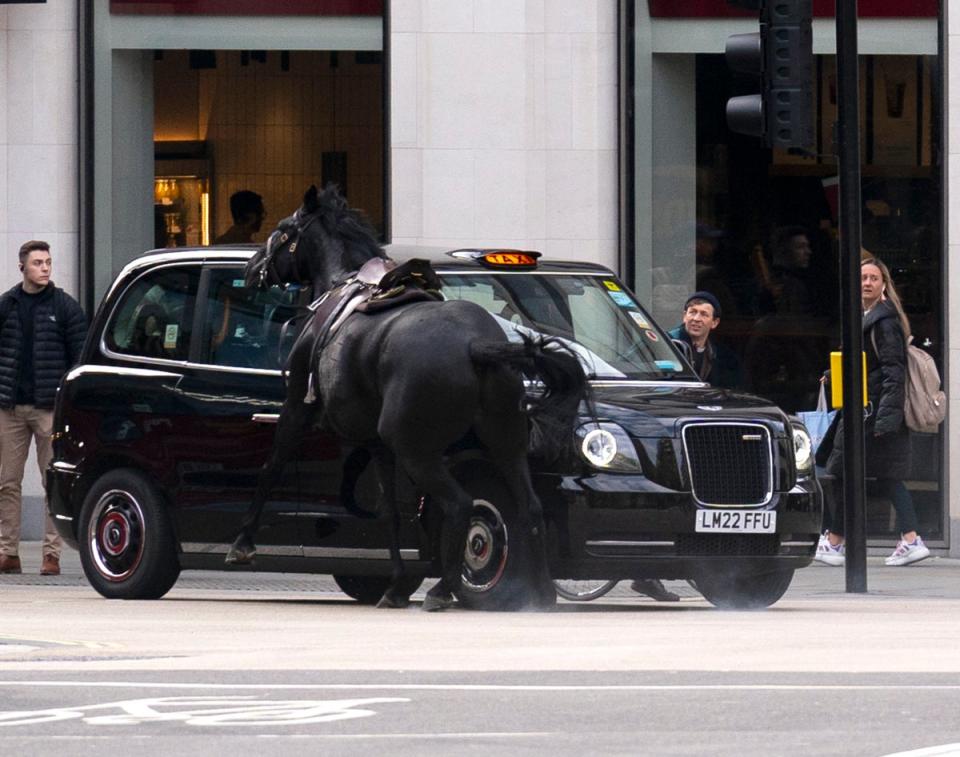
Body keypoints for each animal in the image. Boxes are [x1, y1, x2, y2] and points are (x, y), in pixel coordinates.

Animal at [227, 186, 584, 612]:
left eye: (282, 229)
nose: (251, 268)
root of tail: (475, 345)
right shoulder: (377, 443)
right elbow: (391, 513)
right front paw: (396, 584)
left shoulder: (298, 408)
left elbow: (271, 467)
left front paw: (242, 543)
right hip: (505, 443)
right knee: (530, 506)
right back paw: (541, 591)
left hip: (417, 450)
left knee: (461, 505)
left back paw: (443, 588)